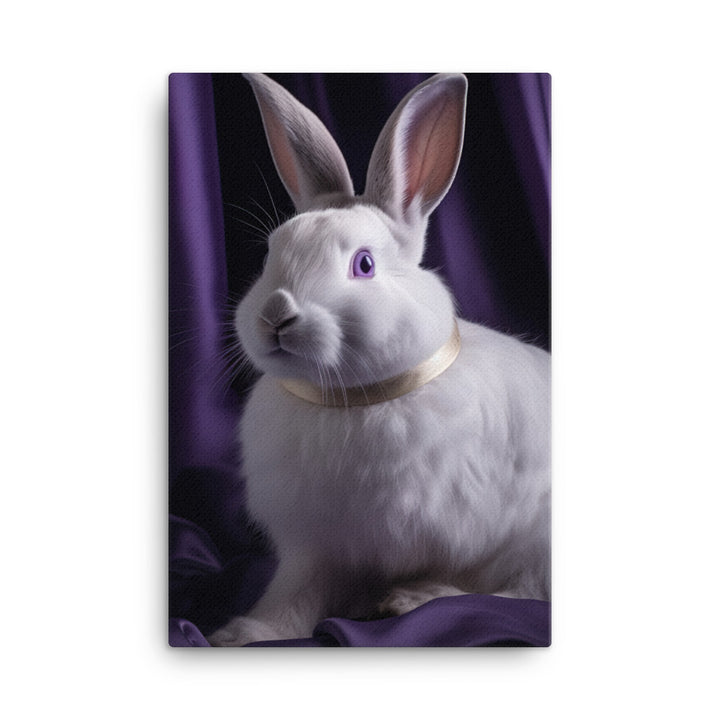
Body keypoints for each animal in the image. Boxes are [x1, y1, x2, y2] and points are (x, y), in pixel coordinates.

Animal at [208, 73, 550, 646]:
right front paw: (244, 633)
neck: (351, 399)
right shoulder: (315, 547)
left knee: (521, 590)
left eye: (364, 265)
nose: (276, 315)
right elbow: (293, 594)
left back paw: (415, 598)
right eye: (271, 253)